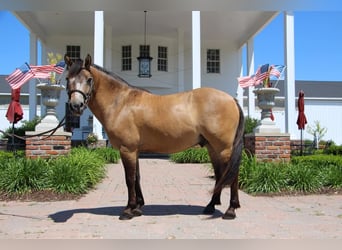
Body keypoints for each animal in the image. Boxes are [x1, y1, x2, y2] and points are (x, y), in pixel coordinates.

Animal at [64, 53, 244, 220]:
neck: (121, 103)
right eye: (67, 78)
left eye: (89, 79)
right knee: (220, 174)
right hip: (212, 148)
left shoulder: (127, 149)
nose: (76, 106)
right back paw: (210, 206)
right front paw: (138, 207)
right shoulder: (134, 151)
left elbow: (129, 179)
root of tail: (231, 99)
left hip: (224, 148)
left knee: (232, 175)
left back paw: (230, 210)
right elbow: (137, 177)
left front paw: (128, 210)